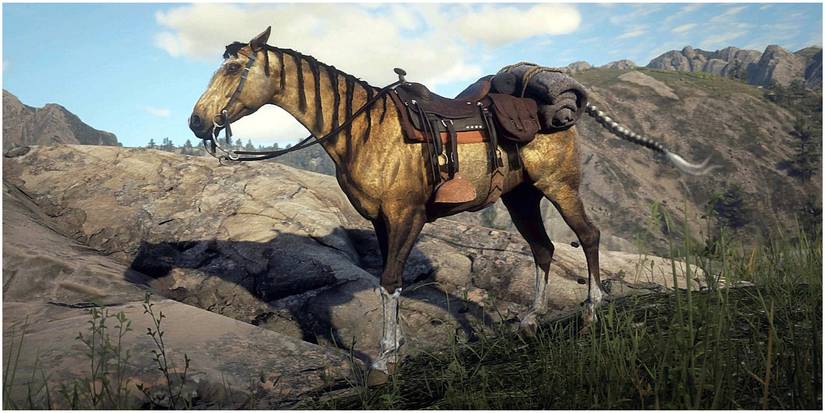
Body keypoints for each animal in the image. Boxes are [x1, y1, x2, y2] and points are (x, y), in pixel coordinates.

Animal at [189, 27, 714, 385]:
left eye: (233, 69)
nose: (196, 122)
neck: (364, 129)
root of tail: (557, 107)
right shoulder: (382, 221)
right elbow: (388, 282)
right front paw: (394, 349)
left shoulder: (407, 215)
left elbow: (390, 281)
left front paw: (385, 360)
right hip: (521, 197)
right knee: (543, 250)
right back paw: (530, 320)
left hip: (560, 186)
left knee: (587, 236)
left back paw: (591, 313)